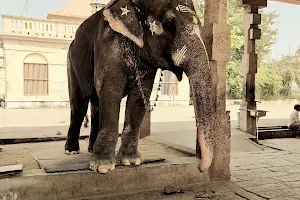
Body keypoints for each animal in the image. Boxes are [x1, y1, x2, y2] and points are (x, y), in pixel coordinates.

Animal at [65, 0, 216, 173]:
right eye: (168, 23)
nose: (199, 167)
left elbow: (139, 96)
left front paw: (131, 162)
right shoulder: (108, 44)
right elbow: (111, 92)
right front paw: (102, 168)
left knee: (96, 104)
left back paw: (90, 149)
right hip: (71, 63)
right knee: (79, 105)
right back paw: (71, 150)